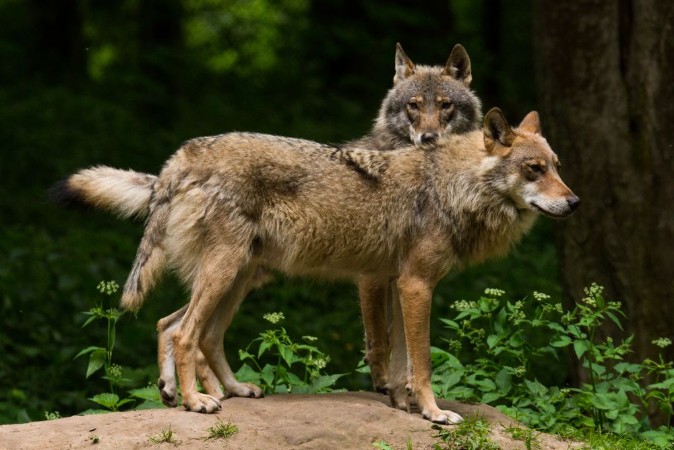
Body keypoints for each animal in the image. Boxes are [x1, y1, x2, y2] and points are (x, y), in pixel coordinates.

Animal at [52, 108, 579, 423]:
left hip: (239, 279)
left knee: (182, 327)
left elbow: (402, 360)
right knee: (185, 333)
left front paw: (404, 403)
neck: (454, 186)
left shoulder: (398, 284)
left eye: (557, 166)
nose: (574, 202)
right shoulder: (415, 285)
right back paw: (197, 401)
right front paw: (433, 413)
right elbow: (422, 361)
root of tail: (181, 156)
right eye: (534, 170)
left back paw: (212, 391)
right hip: (226, 273)